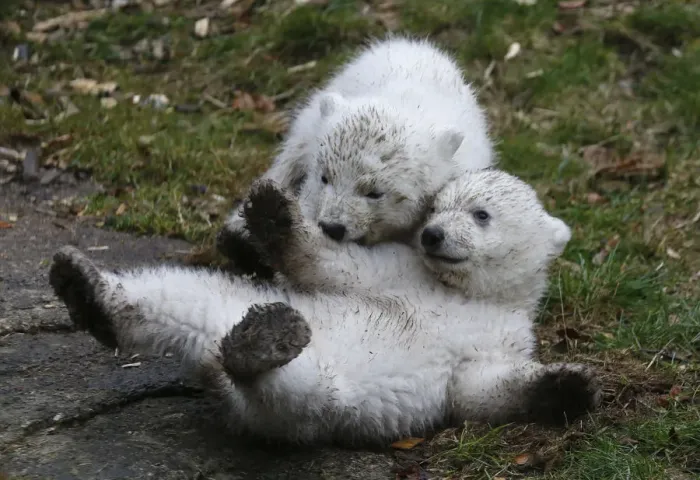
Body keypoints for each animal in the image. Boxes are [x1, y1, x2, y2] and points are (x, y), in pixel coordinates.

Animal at [48, 172, 600, 447]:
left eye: (481, 214)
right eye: (435, 207)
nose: (433, 234)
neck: (467, 293)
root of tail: (209, 354)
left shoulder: (507, 334)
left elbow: (478, 388)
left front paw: (569, 385)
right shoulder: (399, 269)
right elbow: (334, 266)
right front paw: (273, 214)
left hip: (319, 402)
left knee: (297, 391)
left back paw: (256, 345)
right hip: (242, 306)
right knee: (183, 294)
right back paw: (86, 288)